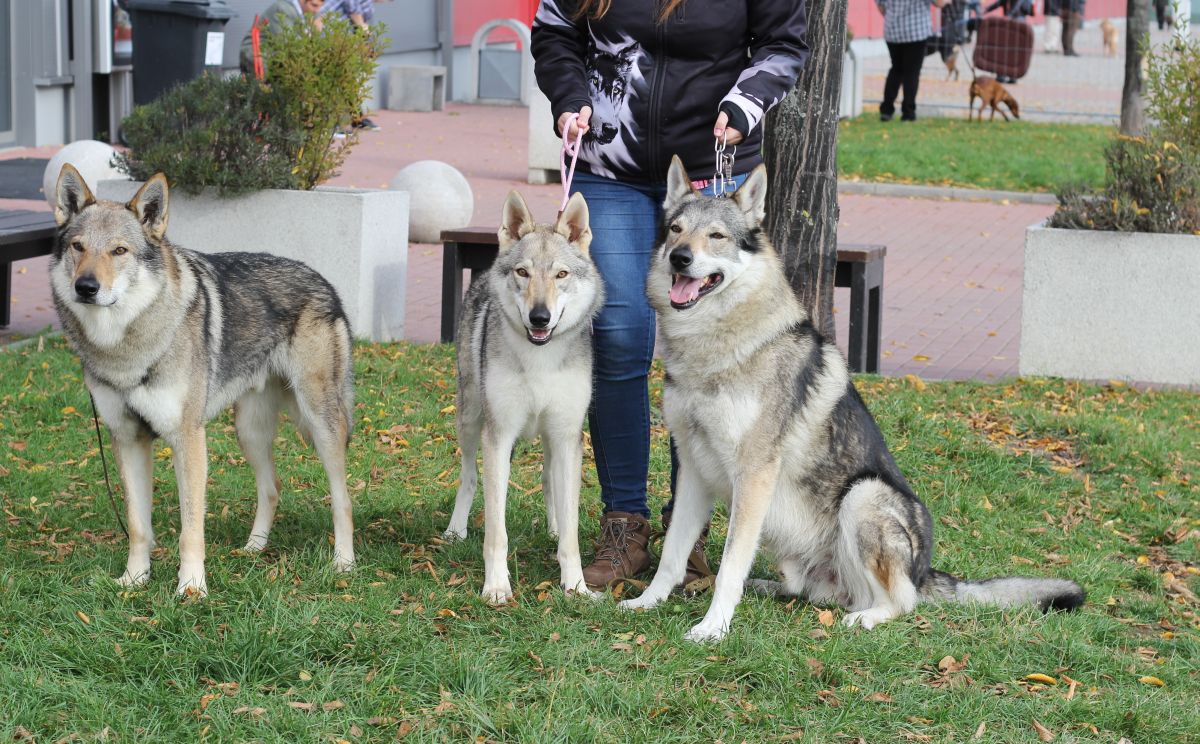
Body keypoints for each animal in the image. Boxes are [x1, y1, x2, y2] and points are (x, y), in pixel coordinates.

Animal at [49, 165, 355, 595]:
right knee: (272, 488)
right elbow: (138, 527)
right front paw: (134, 580)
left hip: (320, 424)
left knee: (342, 498)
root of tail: (324, 281)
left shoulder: (188, 439)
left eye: (119, 251)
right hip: (249, 431)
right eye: (78, 247)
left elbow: (190, 528)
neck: (125, 347)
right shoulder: (127, 439)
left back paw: (344, 563)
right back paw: (254, 548)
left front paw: (192, 587)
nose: (86, 287)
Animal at [444, 192, 604, 604]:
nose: (539, 318)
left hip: (550, 441)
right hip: (470, 421)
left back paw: (552, 526)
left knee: (549, 481)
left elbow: (572, 533)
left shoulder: (568, 438)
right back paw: (455, 530)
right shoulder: (499, 437)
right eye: (523, 273)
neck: (540, 359)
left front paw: (576, 585)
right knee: (469, 477)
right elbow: (496, 532)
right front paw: (497, 587)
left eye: (561, 275)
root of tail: (482, 276)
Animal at [624, 156, 1084, 638]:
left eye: (716, 236)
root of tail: (925, 571)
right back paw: (770, 588)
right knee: (807, 590)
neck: (712, 348)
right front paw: (646, 602)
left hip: (863, 496)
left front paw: (713, 627)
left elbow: (731, 564)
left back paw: (864, 617)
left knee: (902, 601)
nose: (680, 257)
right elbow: (672, 554)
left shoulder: (754, 473)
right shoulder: (693, 467)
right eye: (675, 230)